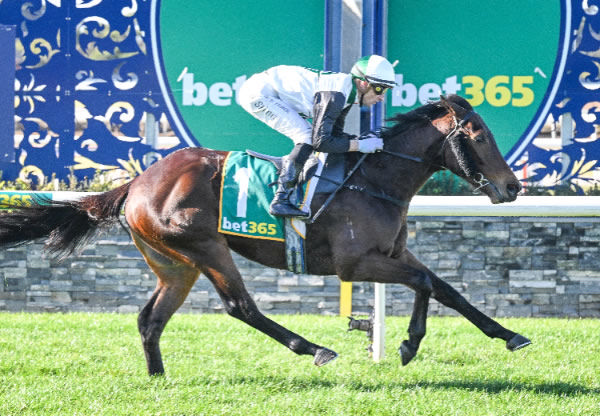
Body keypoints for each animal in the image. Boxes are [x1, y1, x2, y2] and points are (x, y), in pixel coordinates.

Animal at [0, 95, 528, 376]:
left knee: (151, 319)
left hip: (174, 264)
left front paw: (509, 335)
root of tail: (138, 181)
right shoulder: (355, 264)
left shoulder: (395, 252)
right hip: (205, 247)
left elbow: (445, 288)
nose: (512, 187)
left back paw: (158, 377)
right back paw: (314, 348)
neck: (374, 180)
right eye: (478, 136)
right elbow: (423, 285)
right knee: (241, 307)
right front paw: (408, 344)